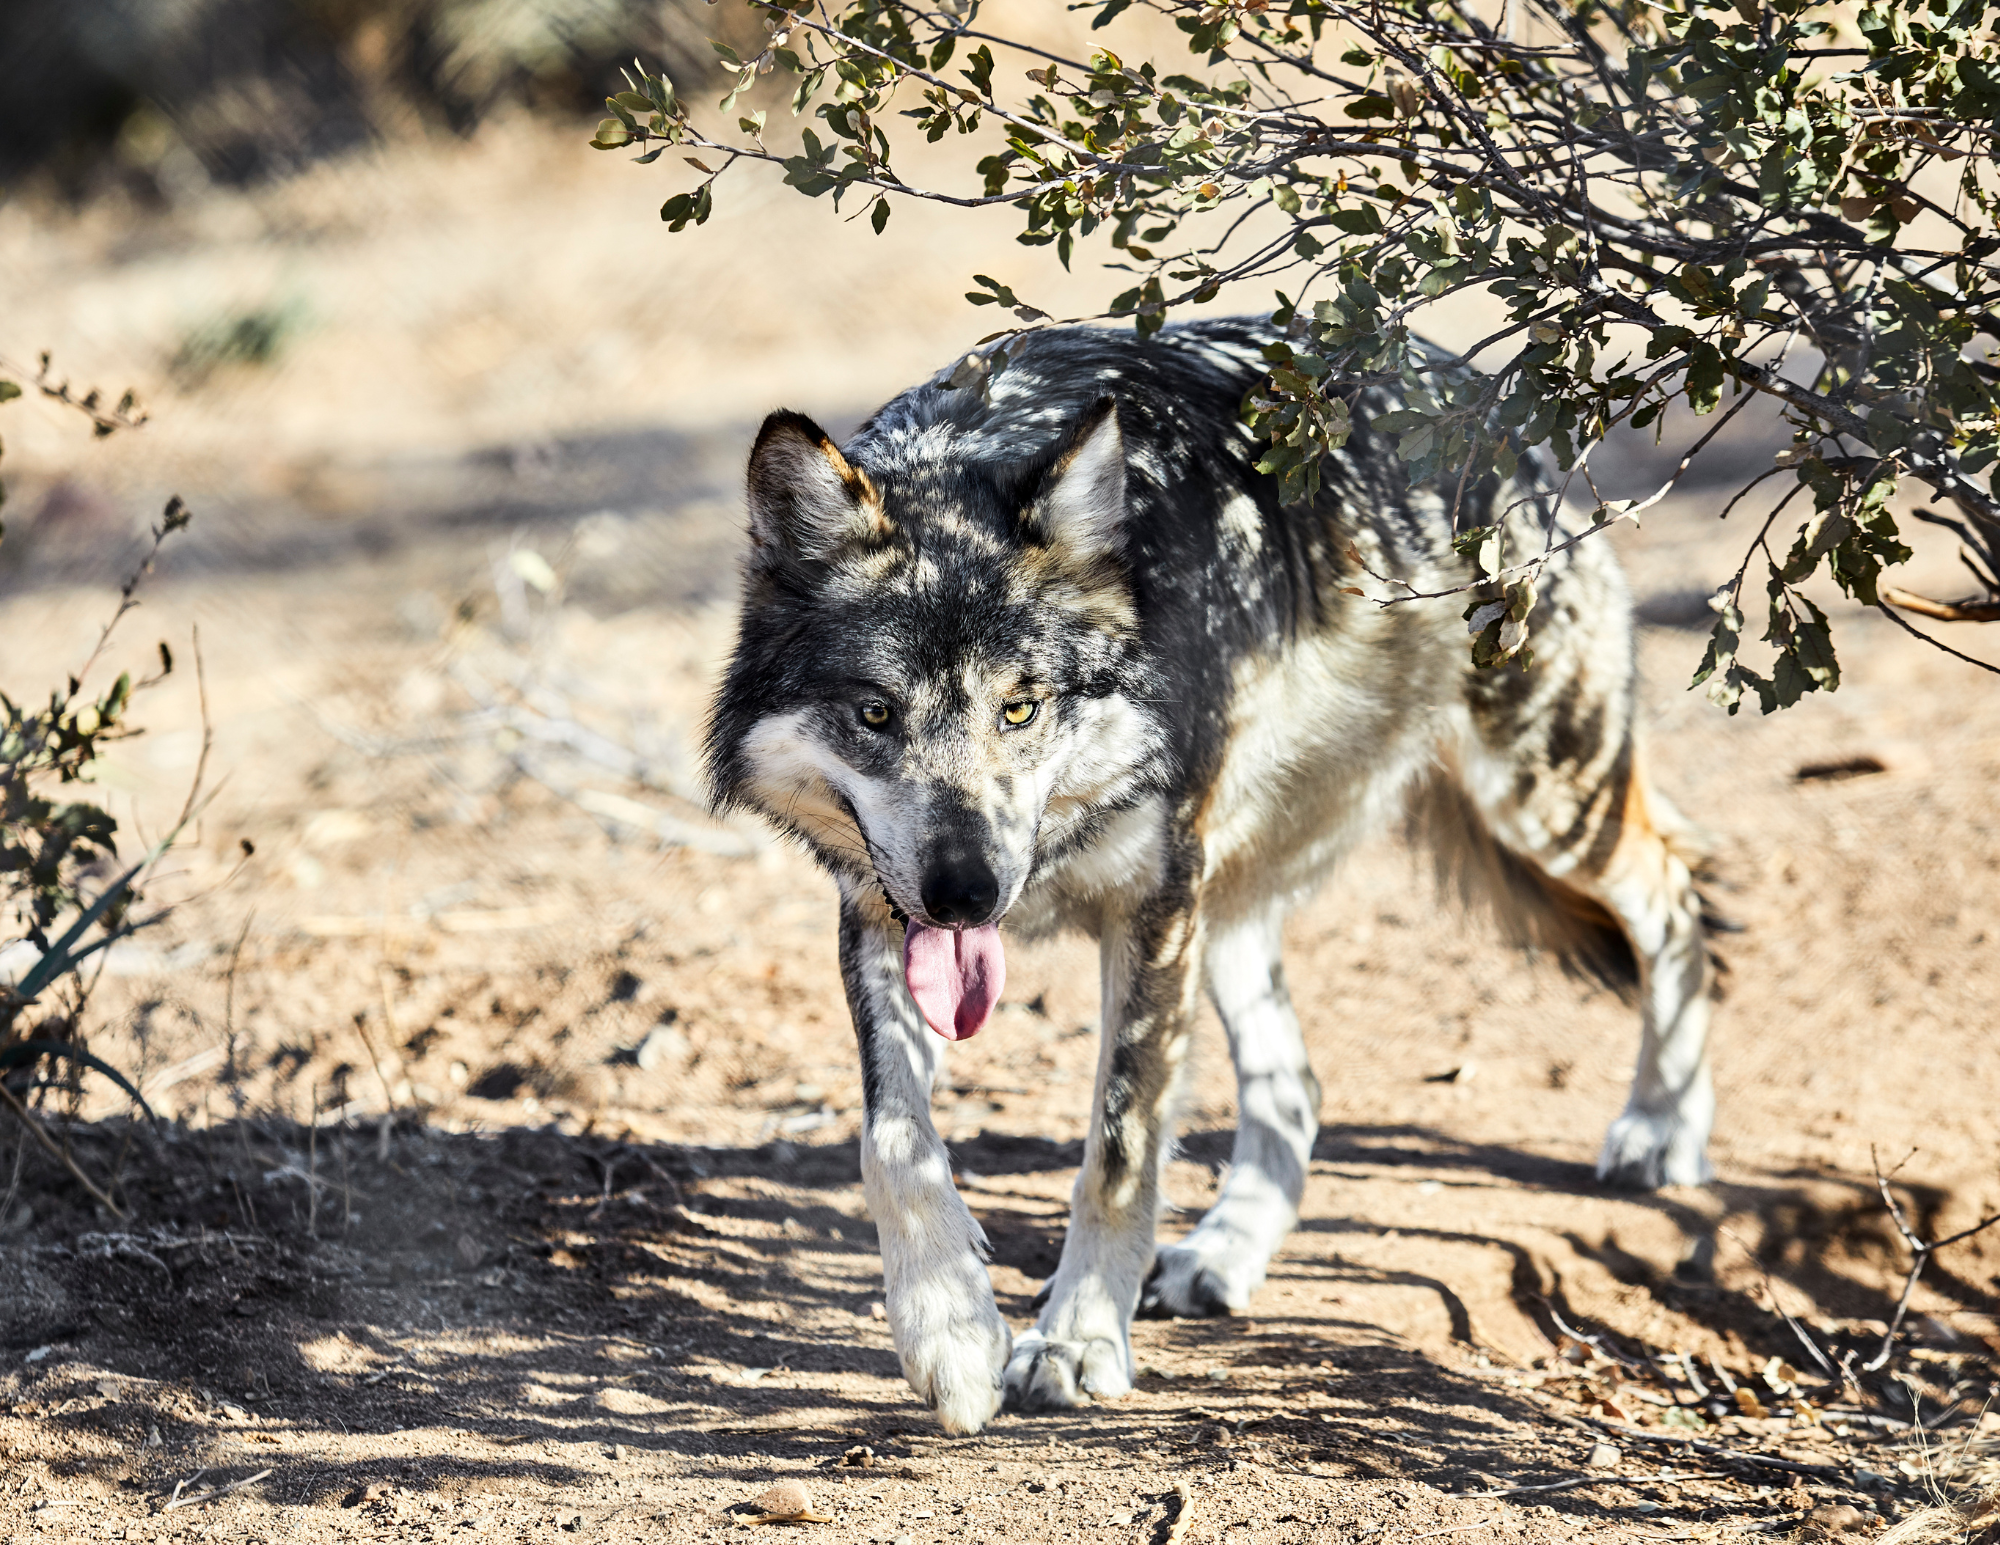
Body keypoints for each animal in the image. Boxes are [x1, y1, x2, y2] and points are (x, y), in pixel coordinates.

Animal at [708, 320, 1720, 1440]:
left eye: (1020, 708)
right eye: (876, 713)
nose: (968, 895)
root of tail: (1485, 398)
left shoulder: (1149, 909)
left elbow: (1118, 1151)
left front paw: (1076, 1340)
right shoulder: (880, 909)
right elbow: (893, 1142)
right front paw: (951, 1333)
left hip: (1538, 796)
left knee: (1677, 894)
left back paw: (1661, 1127)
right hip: (1228, 894)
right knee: (1296, 1085)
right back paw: (1223, 1252)